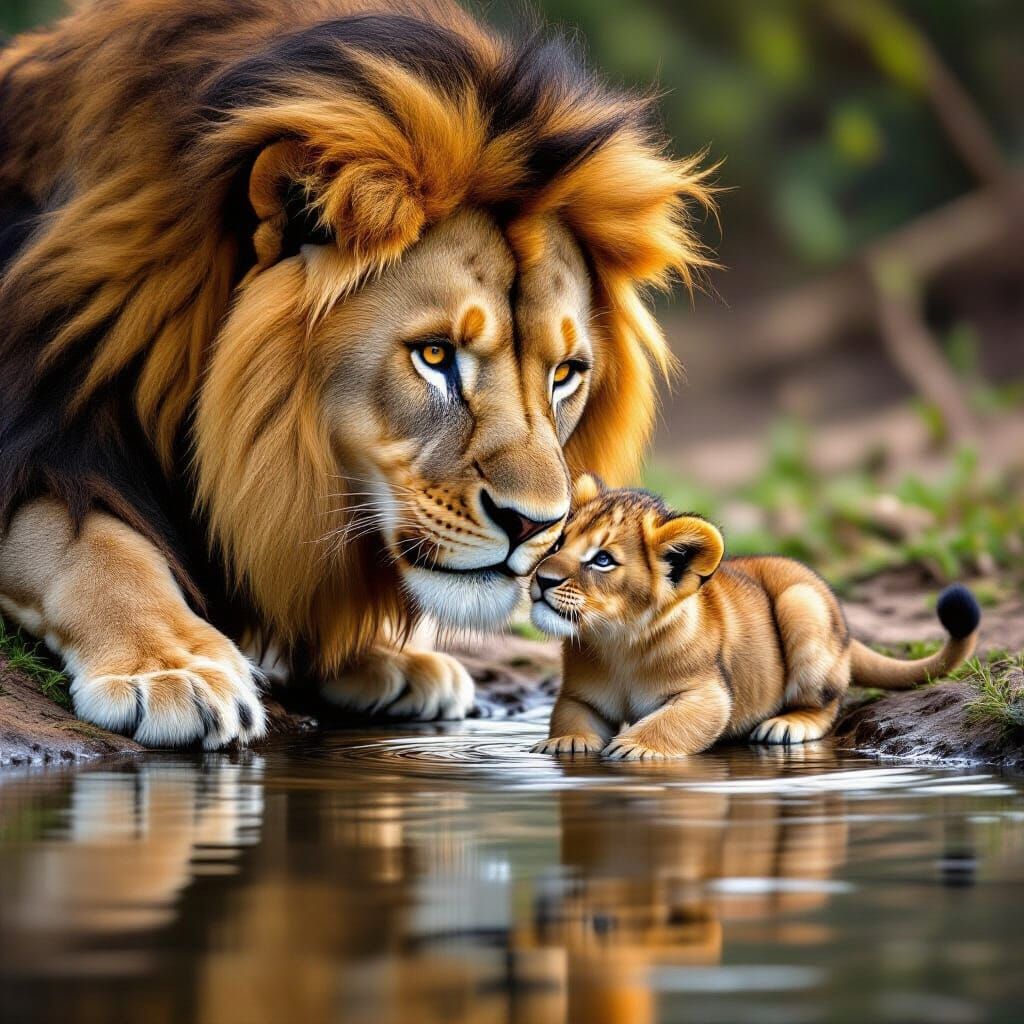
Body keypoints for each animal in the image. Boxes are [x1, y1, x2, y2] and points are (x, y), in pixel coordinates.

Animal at [0, 0, 713, 748]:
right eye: (435, 355)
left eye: (566, 374)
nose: (533, 527)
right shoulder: (44, 439)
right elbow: (100, 550)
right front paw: (172, 668)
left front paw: (380, 660)